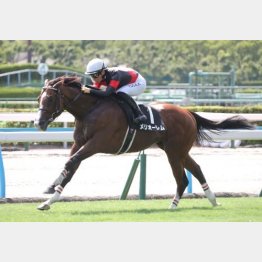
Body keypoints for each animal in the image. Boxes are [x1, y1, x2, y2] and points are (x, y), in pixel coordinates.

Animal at [34, 76, 252, 211]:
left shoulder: (97, 144)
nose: (39, 123)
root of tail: (188, 113)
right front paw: (48, 199)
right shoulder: (80, 143)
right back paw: (213, 200)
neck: (91, 110)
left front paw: (52, 187)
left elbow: (70, 163)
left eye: (50, 98)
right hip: (178, 150)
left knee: (182, 178)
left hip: (174, 152)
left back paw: (173, 205)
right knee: (196, 169)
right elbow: (71, 166)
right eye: (38, 98)